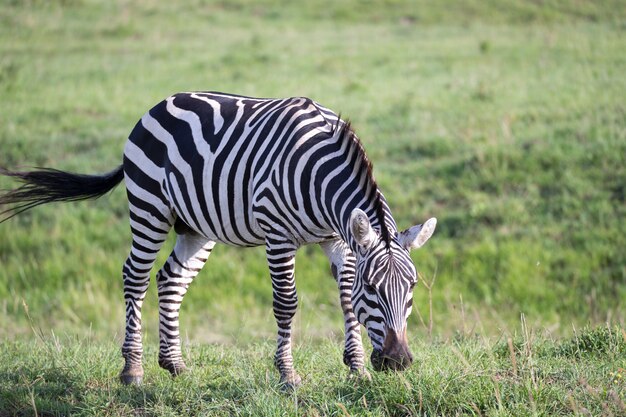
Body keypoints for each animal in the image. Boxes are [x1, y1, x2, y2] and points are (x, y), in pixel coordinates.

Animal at [0, 92, 436, 386]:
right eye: (374, 289)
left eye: (412, 287)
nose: (398, 362)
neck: (320, 179)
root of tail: (158, 104)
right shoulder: (278, 235)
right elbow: (287, 304)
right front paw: (287, 375)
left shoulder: (338, 239)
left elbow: (344, 298)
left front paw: (357, 367)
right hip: (149, 207)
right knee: (135, 277)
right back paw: (132, 370)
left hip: (195, 226)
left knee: (170, 279)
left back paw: (174, 364)